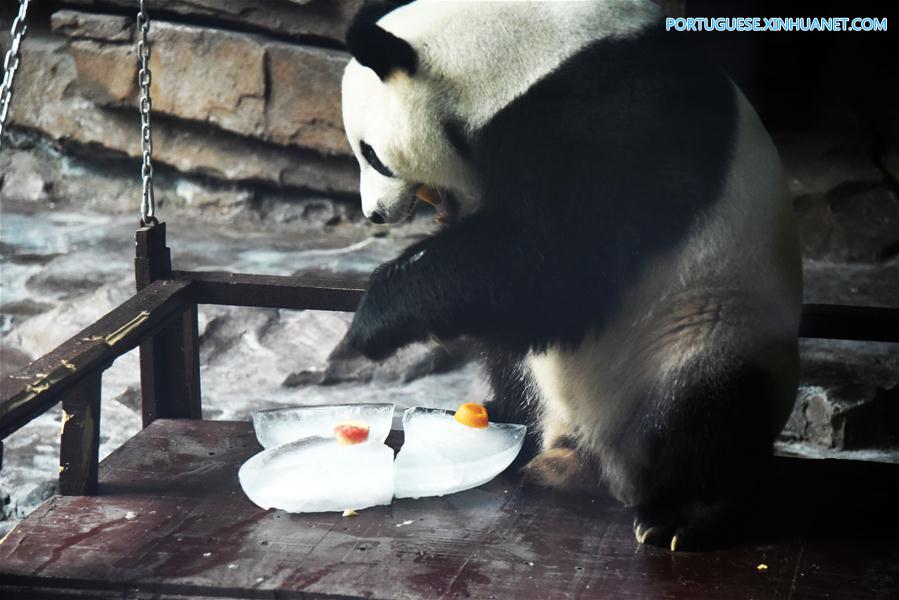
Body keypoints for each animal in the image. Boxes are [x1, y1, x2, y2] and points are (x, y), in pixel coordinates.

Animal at [340, 0, 802, 551]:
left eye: (371, 154)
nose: (374, 215)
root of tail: (588, 452)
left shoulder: (619, 113)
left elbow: (555, 262)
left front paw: (371, 320)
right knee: (509, 357)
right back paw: (503, 419)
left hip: (703, 330)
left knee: (708, 413)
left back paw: (685, 515)